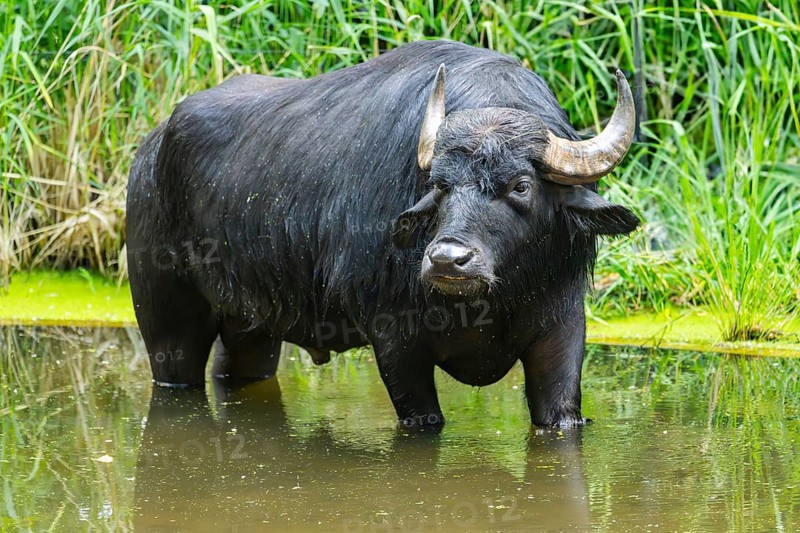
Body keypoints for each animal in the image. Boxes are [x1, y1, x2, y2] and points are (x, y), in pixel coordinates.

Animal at [126, 40, 639, 428]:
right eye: (440, 185)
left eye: (520, 185)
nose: (447, 260)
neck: (491, 300)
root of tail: (150, 151)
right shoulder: (395, 342)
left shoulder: (563, 327)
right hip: (166, 322)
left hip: (251, 329)